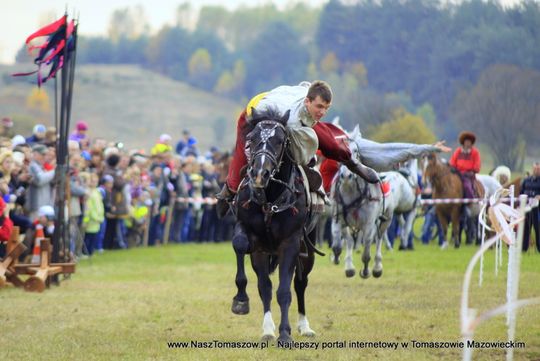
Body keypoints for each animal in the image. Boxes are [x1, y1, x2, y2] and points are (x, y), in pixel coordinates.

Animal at [230, 106, 318, 344]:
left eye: (280, 141)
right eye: (251, 139)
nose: (260, 174)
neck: (270, 199)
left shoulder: (290, 243)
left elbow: (284, 291)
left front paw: (285, 333)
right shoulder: (255, 242)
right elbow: (264, 286)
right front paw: (242, 301)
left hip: (308, 250)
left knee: (300, 283)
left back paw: (304, 325)